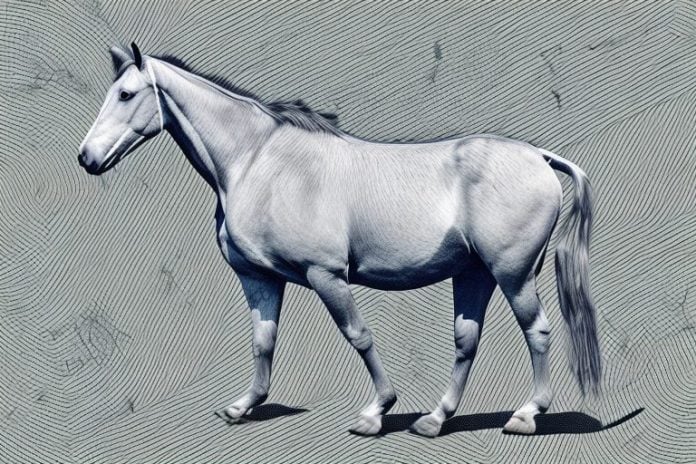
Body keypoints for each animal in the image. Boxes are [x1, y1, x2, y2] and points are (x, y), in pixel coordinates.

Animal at [78, 43, 601, 437]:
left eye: (126, 94)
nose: (87, 158)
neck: (258, 163)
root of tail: (539, 156)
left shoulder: (326, 275)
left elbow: (358, 334)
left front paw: (375, 412)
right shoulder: (259, 279)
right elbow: (263, 341)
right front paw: (243, 406)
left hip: (513, 275)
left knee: (537, 332)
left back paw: (526, 416)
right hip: (474, 274)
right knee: (466, 342)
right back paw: (434, 420)